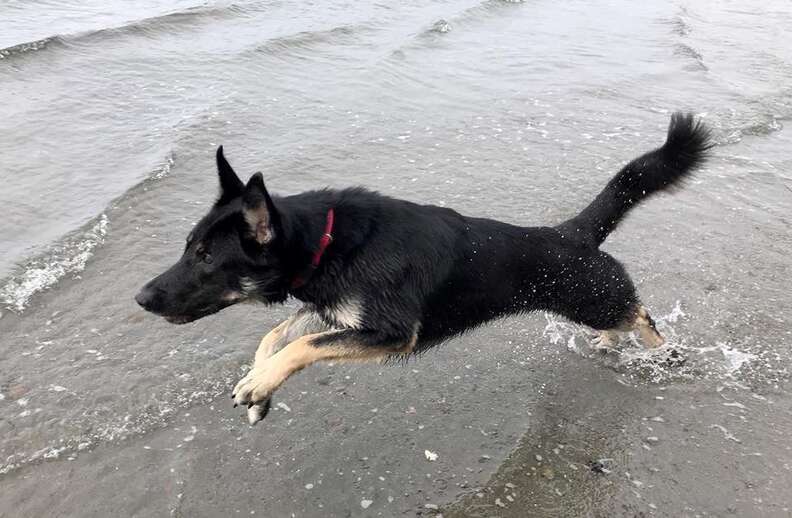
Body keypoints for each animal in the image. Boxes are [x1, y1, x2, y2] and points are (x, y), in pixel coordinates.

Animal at [136, 111, 712, 424]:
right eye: (188, 247)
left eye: (206, 257)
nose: (140, 299)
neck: (326, 243)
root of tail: (573, 231)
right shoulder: (338, 311)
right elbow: (279, 333)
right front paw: (260, 383)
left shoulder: (390, 331)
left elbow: (300, 344)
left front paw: (259, 384)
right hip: (587, 302)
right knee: (621, 321)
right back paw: (615, 345)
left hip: (594, 295)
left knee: (640, 314)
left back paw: (664, 351)